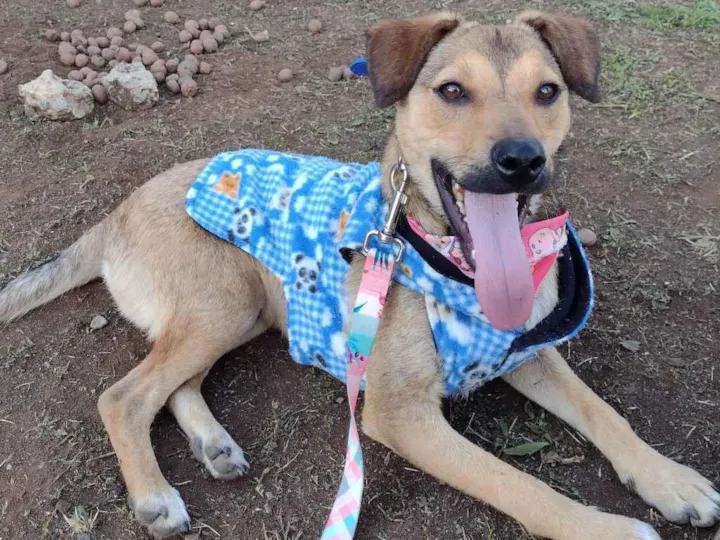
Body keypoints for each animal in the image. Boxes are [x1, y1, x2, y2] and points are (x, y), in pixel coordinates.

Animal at [1, 10, 719, 540]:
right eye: (452, 91)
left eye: (548, 92)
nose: (521, 160)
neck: (449, 263)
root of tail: (115, 213)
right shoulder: (400, 416)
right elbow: (519, 484)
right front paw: (609, 529)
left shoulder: (526, 353)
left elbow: (605, 413)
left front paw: (671, 480)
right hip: (224, 304)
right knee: (124, 397)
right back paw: (155, 494)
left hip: (246, 311)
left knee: (174, 386)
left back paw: (214, 444)